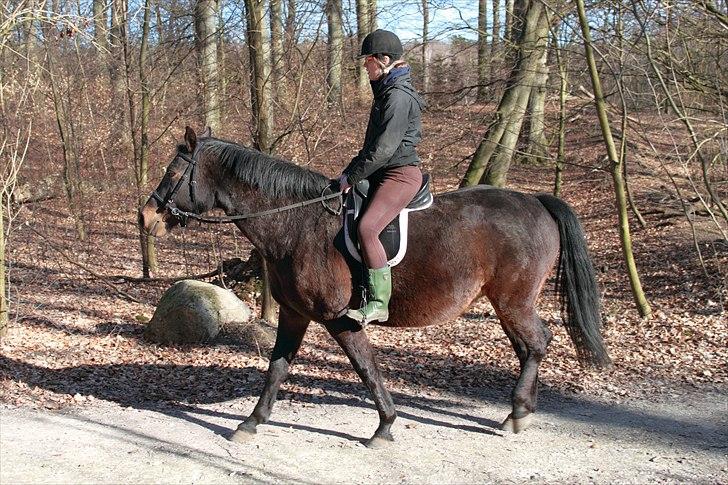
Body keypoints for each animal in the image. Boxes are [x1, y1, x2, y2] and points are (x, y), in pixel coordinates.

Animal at [141, 126, 608, 448]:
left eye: (173, 171)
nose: (145, 217)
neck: (297, 223)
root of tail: (536, 200)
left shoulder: (340, 320)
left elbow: (367, 369)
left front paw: (384, 426)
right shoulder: (294, 314)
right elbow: (276, 369)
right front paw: (252, 422)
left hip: (514, 301)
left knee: (538, 343)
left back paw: (518, 412)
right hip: (505, 302)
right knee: (528, 347)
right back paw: (520, 410)